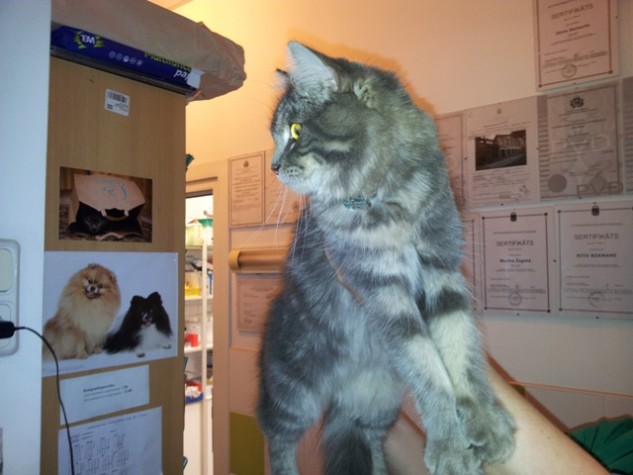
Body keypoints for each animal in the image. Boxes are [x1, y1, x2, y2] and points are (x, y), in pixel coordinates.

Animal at [257, 42, 515, 475]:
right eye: (277, 136)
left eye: (295, 131)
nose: (274, 167)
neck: (384, 199)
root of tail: (343, 390)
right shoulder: (381, 290)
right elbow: (429, 370)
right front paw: (449, 445)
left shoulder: (442, 270)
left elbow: (460, 352)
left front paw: (485, 421)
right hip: (293, 388)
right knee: (277, 439)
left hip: (375, 405)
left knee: (370, 441)